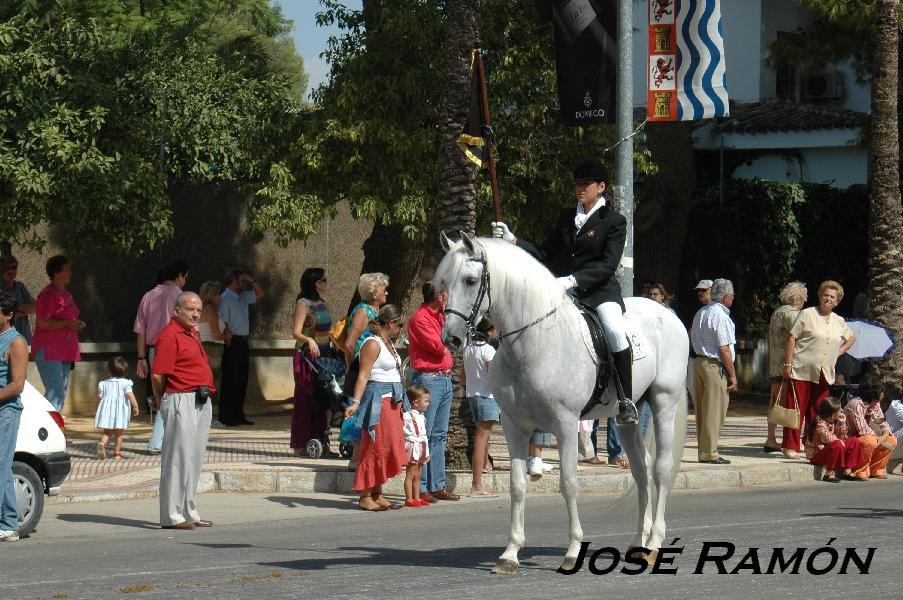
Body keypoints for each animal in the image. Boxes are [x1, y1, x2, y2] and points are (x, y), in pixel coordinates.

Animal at [436, 232, 684, 576]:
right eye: (444, 281)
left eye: (471, 280)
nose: (451, 339)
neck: (533, 342)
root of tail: (666, 313)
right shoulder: (514, 426)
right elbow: (517, 485)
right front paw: (510, 554)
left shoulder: (565, 424)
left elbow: (568, 483)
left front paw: (572, 551)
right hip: (626, 418)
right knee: (641, 470)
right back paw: (639, 543)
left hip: (664, 403)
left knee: (660, 469)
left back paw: (655, 544)